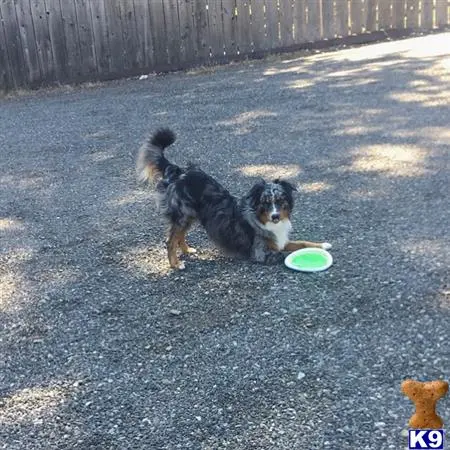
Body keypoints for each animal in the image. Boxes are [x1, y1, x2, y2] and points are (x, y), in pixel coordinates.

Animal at [137, 128, 330, 268]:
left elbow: (302, 243)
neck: (262, 219)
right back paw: (176, 264)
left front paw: (323, 245)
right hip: (182, 215)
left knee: (180, 236)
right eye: (266, 203)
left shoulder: (280, 240)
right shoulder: (260, 253)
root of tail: (177, 171)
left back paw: (187, 250)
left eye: (280, 201)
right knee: (170, 240)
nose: (275, 216)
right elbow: (283, 254)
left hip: (190, 215)